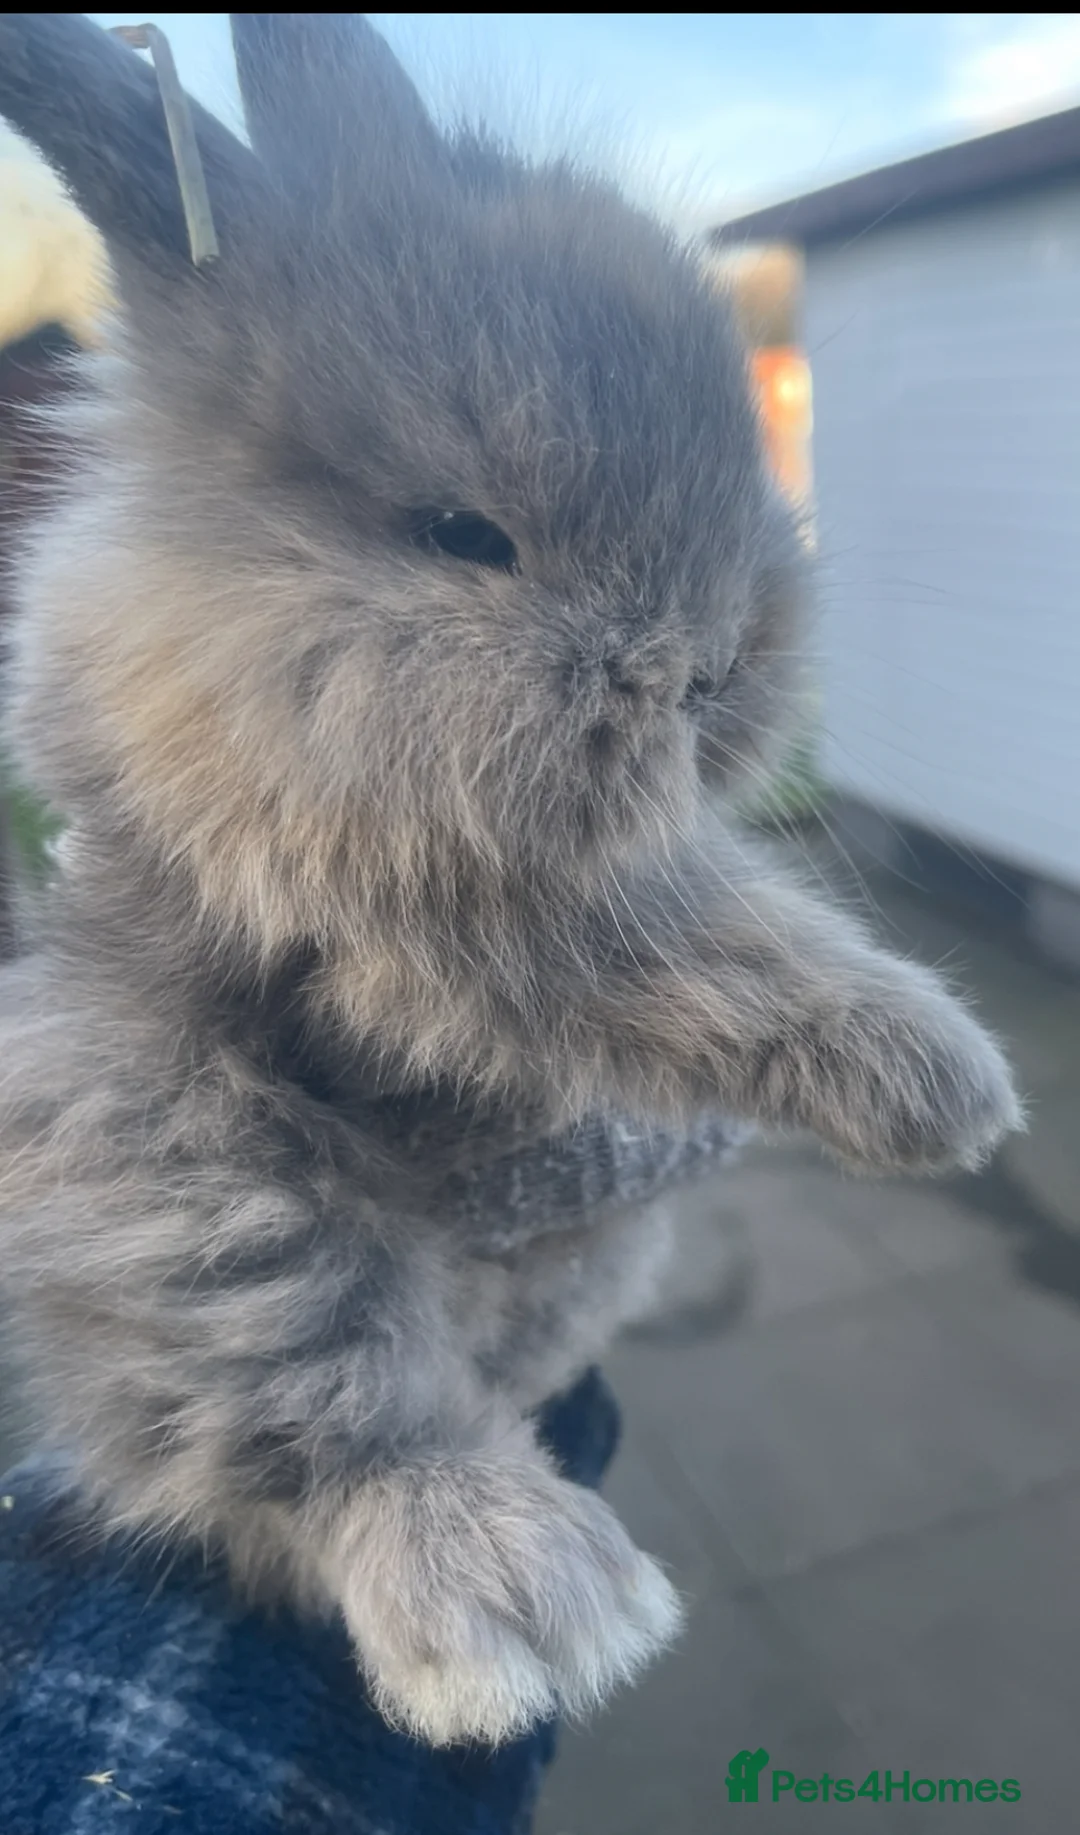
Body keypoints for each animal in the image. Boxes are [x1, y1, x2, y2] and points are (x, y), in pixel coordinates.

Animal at [0, 13, 1021, 1748]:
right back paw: (523, 1596)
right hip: (181, 1188)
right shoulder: (432, 907)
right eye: (461, 530)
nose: (704, 671)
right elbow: (710, 944)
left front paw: (946, 1099)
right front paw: (951, 1088)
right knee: (326, 1426)